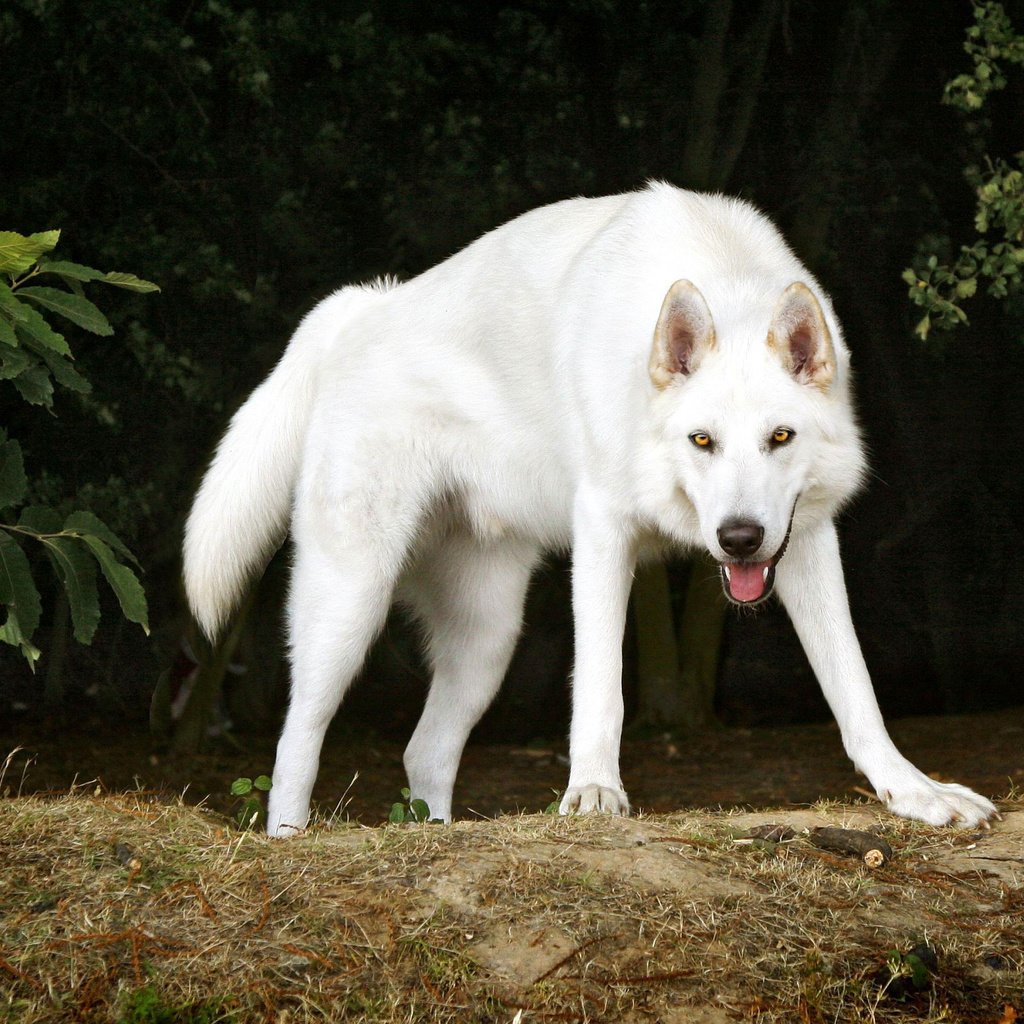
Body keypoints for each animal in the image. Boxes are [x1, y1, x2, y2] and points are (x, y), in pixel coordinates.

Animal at [182, 182, 991, 831]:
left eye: (780, 438)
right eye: (702, 440)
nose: (737, 538)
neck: (720, 276)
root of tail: (360, 307)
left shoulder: (807, 538)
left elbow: (855, 688)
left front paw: (915, 793)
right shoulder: (605, 531)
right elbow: (601, 688)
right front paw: (595, 794)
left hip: (488, 639)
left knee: (423, 753)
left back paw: (435, 834)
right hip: (349, 609)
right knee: (295, 743)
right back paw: (290, 840)